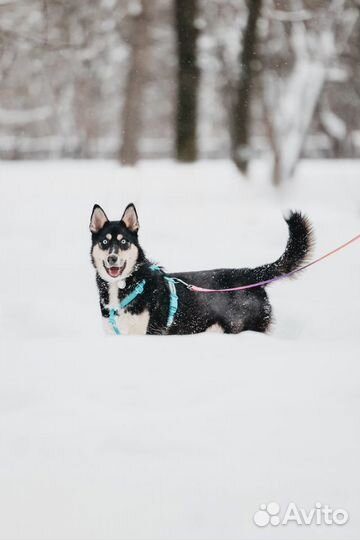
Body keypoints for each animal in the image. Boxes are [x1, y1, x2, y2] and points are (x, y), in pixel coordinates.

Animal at [89, 205, 312, 336]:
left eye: (124, 242)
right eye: (104, 242)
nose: (112, 258)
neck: (128, 285)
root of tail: (251, 273)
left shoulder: (151, 333)